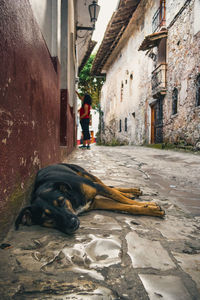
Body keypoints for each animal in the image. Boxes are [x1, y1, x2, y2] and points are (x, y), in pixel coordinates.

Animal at [15, 163, 165, 233]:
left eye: (61, 202)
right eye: (47, 217)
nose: (72, 224)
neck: (72, 199)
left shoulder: (95, 187)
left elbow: (120, 199)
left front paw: (149, 205)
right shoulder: (96, 202)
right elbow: (124, 205)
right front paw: (148, 208)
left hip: (87, 175)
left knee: (108, 185)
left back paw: (131, 192)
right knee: (112, 187)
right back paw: (131, 192)